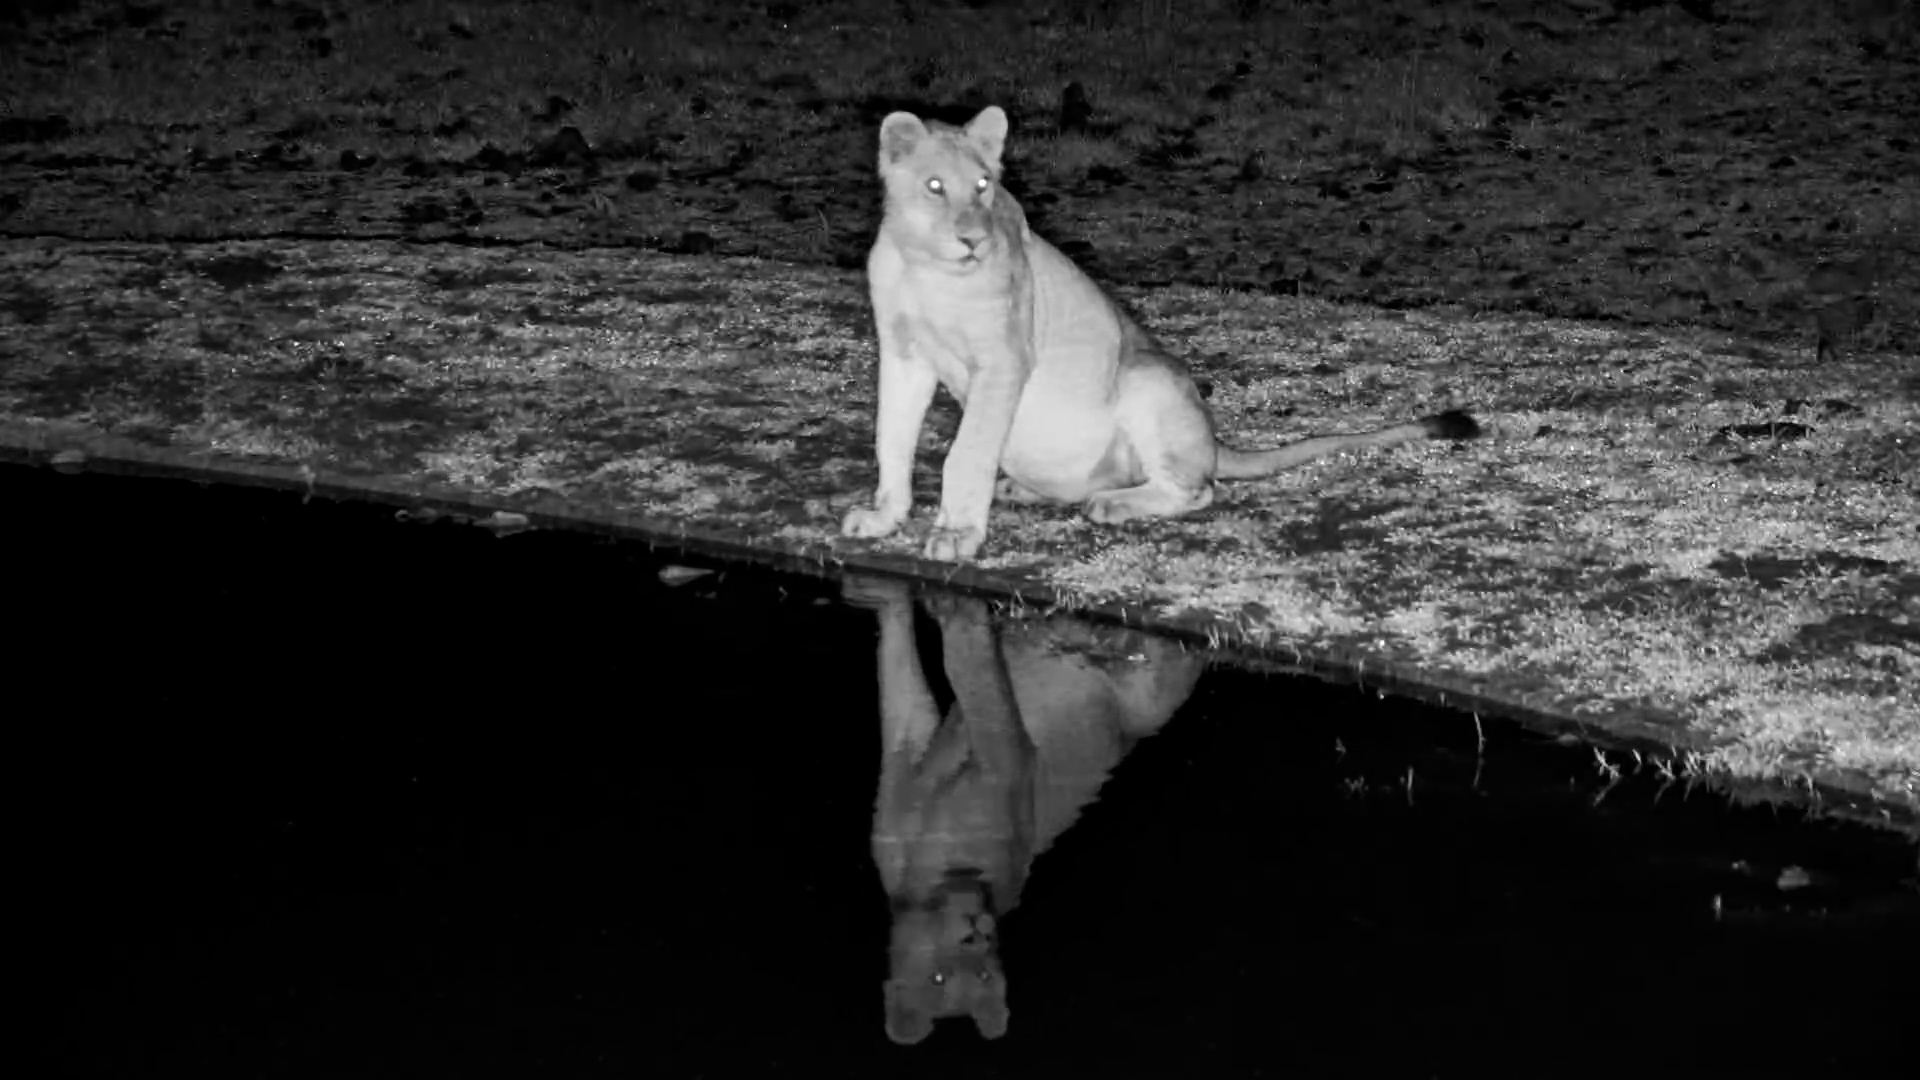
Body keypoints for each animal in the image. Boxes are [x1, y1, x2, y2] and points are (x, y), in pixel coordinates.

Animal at [839, 104, 1480, 562]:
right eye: (934, 187)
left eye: (981, 186)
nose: (972, 240)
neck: (927, 268)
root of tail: (1213, 442)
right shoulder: (903, 354)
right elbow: (891, 438)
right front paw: (884, 517)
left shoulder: (1004, 360)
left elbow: (965, 453)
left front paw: (957, 533)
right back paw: (1026, 491)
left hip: (1147, 375)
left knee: (1197, 490)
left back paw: (1113, 505)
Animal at [845, 574, 1204, 1044]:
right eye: (939, 979)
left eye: (983, 977)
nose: (977, 932)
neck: (926, 884)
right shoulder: (907, 783)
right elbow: (906, 685)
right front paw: (887, 595)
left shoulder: (1011, 766)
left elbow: (974, 677)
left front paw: (955, 605)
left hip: (1144, 702)